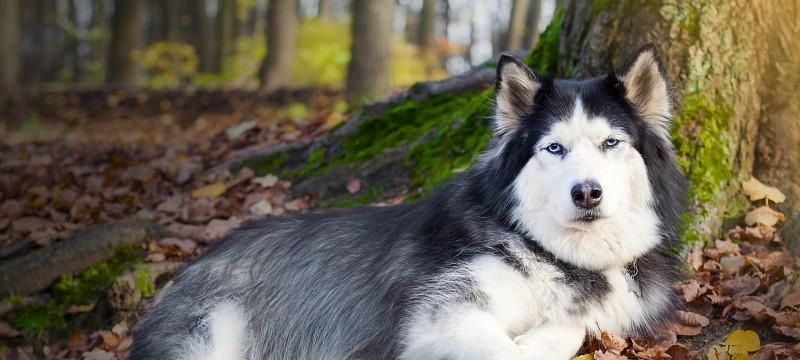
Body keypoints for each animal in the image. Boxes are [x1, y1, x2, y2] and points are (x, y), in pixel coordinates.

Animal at [131, 47, 688, 360]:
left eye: (611, 143)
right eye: (554, 148)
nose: (587, 192)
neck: (554, 253)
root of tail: (195, 261)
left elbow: (571, 328)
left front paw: (539, 340)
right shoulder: (440, 315)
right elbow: (500, 350)